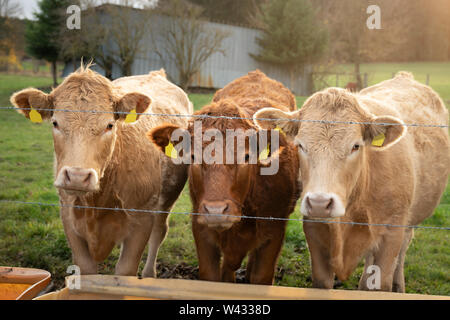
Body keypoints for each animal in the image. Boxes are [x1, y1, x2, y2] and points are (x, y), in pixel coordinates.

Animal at [9, 63, 192, 276]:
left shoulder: (142, 220)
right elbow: (87, 269)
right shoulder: (68, 217)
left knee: (159, 231)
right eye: (55, 123)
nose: (77, 177)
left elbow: (125, 270)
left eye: (109, 125)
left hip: (167, 197)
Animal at [149, 71, 300, 284]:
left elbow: (260, 275)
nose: (216, 211)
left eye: (246, 156)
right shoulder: (201, 228)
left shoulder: (274, 231)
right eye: (193, 156)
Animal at [255, 71, 448, 292]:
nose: (320, 203)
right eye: (300, 145)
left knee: (403, 248)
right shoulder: (314, 230)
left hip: (409, 220)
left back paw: (398, 285)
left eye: (356, 146)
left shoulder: (392, 233)